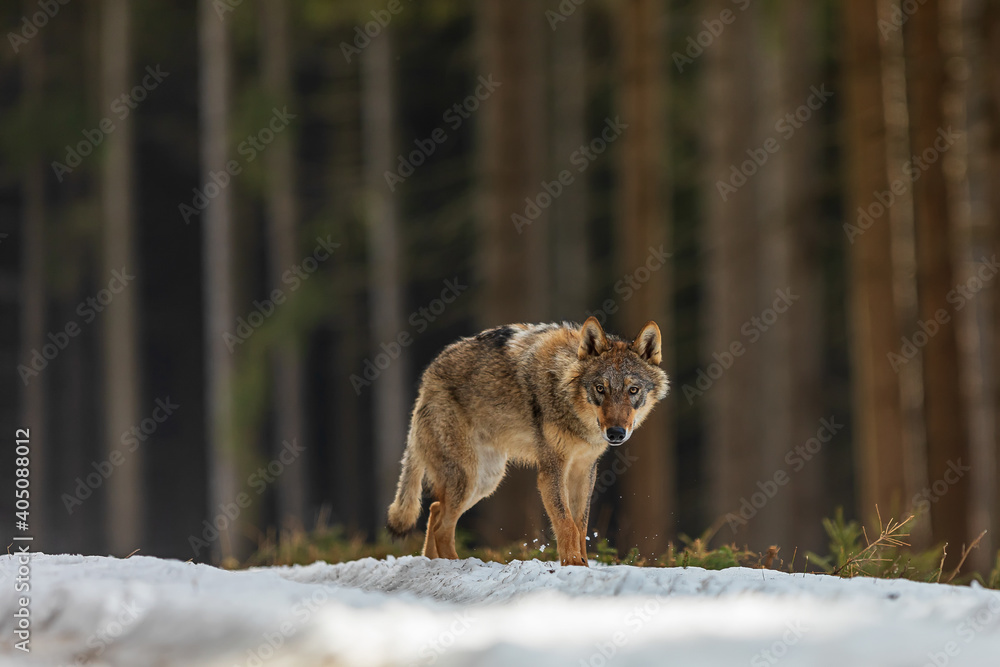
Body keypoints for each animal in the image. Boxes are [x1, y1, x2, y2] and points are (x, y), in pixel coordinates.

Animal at [386, 317, 670, 566]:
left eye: (633, 390)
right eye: (601, 388)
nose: (616, 433)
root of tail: (427, 380)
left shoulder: (584, 470)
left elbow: (580, 527)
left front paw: (584, 567)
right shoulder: (551, 470)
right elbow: (567, 525)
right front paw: (573, 565)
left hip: (486, 480)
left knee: (435, 510)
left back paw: (433, 563)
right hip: (469, 478)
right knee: (442, 525)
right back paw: (454, 565)